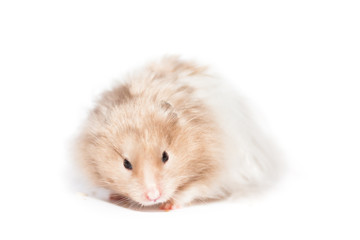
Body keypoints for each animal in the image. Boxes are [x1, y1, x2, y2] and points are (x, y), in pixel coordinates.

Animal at [75, 56, 278, 210]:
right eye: (126, 164)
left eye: (165, 156)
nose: (153, 196)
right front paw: (114, 196)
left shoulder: (215, 169)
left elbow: (193, 189)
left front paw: (168, 205)